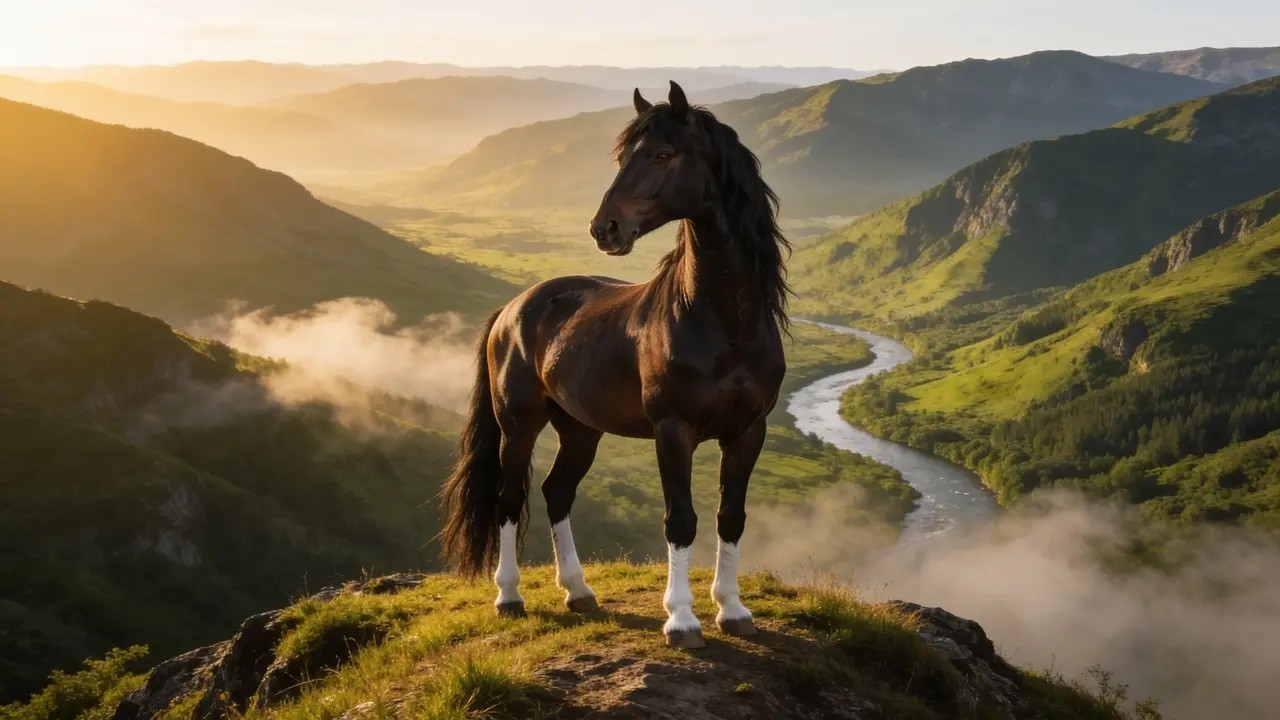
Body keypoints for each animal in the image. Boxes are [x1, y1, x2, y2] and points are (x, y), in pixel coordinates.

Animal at [440, 81, 789, 649]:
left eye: (663, 154)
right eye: (624, 156)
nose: (605, 228)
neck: (721, 321)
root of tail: (513, 308)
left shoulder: (748, 431)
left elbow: (730, 517)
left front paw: (732, 609)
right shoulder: (673, 431)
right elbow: (680, 520)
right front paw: (681, 620)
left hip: (581, 430)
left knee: (556, 493)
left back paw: (578, 592)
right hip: (518, 426)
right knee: (509, 498)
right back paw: (509, 597)